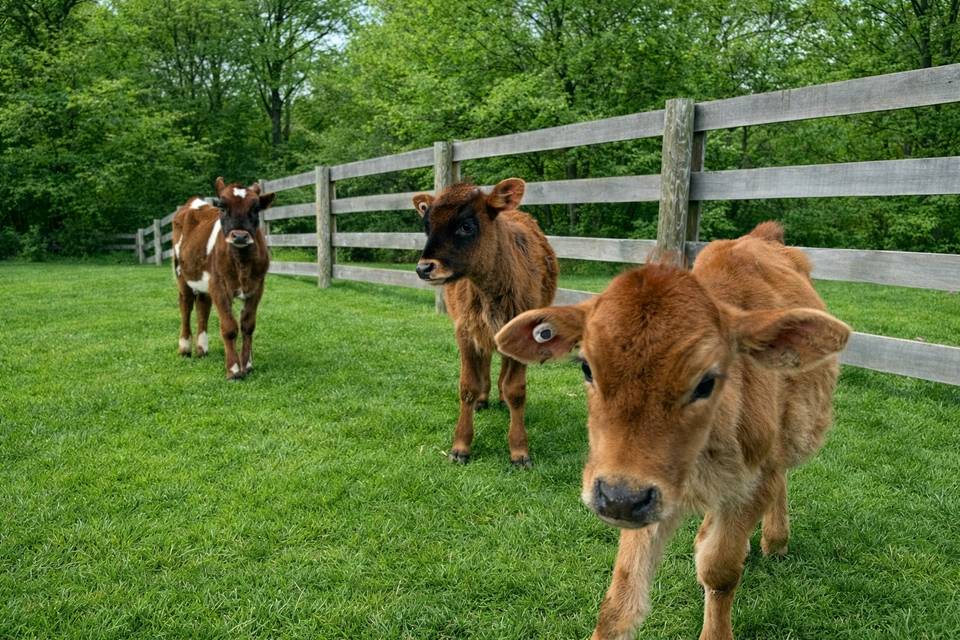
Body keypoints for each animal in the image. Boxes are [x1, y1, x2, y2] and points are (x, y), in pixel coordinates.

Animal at [171, 177, 274, 380]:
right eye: (223, 207)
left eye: (255, 209)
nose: (240, 236)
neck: (242, 263)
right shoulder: (219, 286)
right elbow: (229, 327)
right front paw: (233, 370)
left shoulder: (257, 287)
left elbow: (248, 326)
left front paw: (247, 365)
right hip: (181, 274)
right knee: (186, 306)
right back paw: (185, 348)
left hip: (205, 282)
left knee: (202, 307)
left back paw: (202, 349)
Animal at [413, 178, 558, 467]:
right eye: (427, 226)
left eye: (466, 226)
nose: (424, 268)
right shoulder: (465, 332)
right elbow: (467, 387)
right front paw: (460, 446)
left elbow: (516, 390)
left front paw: (519, 450)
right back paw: (483, 398)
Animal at [495, 222, 850, 639]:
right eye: (586, 367)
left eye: (706, 381)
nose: (619, 498)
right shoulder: (640, 491)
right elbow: (622, 594)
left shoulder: (749, 483)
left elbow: (720, 570)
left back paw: (774, 539)